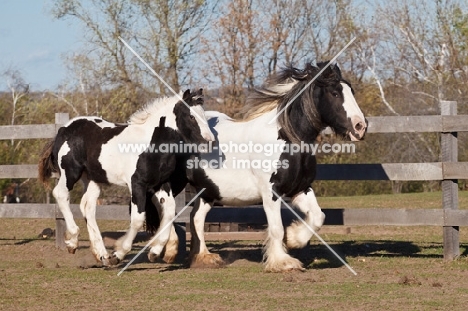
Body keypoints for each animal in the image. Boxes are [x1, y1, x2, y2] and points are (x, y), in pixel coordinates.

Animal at [38, 89, 214, 266]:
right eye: (191, 116)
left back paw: (102, 254)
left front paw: (155, 252)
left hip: (92, 179)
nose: (209, 142)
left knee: (88, 206)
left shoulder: (160, 184)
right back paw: (73, 242)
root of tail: (64, 129)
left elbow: (169, 212)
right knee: (60, 194)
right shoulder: (137, 184)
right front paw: (119, 254)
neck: (151, 144)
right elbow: (137, 219)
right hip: (70, 172)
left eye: (203, 115)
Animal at [164, 62, 366, 272]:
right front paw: (283, 262)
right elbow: (276, 228)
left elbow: (318, 217)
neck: (285, 140)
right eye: (334, 93)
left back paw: (203, 257)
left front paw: (293, 239)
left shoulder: (300, 189)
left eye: (351, 91)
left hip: (208, 191)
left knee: (196, 218)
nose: (360, 127)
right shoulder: (271, 192)